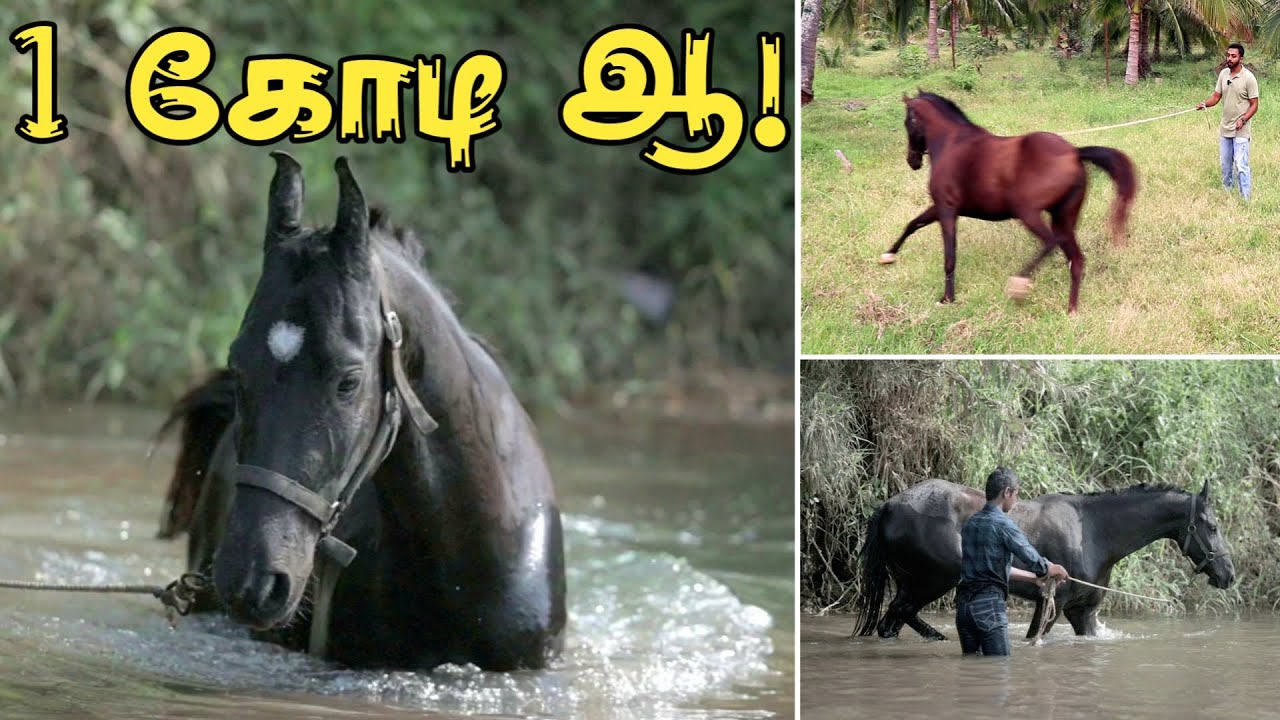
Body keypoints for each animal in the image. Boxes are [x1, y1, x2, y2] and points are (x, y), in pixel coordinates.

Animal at [852, 478, 1234, 642]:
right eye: (1212, 526)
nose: (1228, 575)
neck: (1093, 531)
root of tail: (891, 505)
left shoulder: (1082, 612)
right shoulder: (1051, 603)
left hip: (913, 582)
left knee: (892, 621)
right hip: (933, 581)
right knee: (897, 615)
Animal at [878, 91, 1139, 314]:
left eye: (907, 122)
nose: (912, 161)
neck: (951, 143)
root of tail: (1073, 154)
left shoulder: (947, 210)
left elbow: (949, 256)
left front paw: (947, 298)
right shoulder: (941, 207)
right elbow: (912, 224)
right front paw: (888, 256)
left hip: (1028, 213)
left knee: (1051, 242)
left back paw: (1019, 285)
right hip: (1063, 217)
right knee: (1076, 259)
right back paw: (1071, 310)